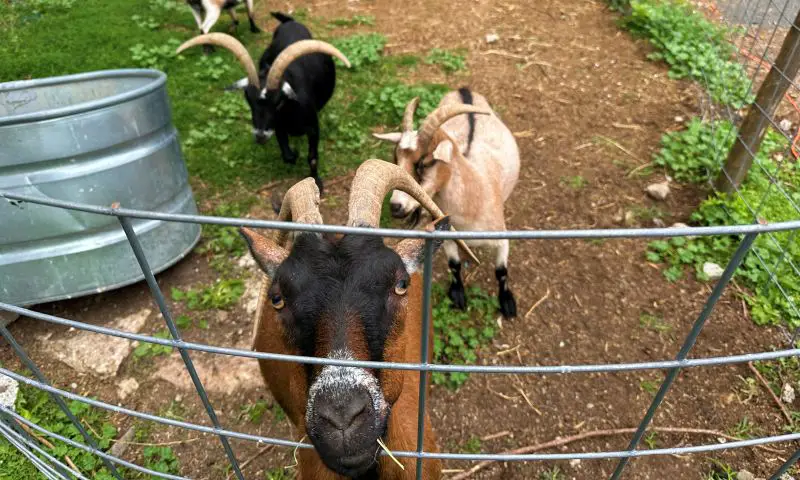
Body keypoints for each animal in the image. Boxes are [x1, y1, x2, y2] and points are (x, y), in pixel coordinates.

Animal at [175, 13, 350, 189]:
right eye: (248, 98)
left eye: (279, 101)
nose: (260, 136)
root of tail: (290, 21)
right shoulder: (278, 126)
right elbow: (287, 155)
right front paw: (294, 154)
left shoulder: (313, 128)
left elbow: (312, 157)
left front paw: (317, 182)